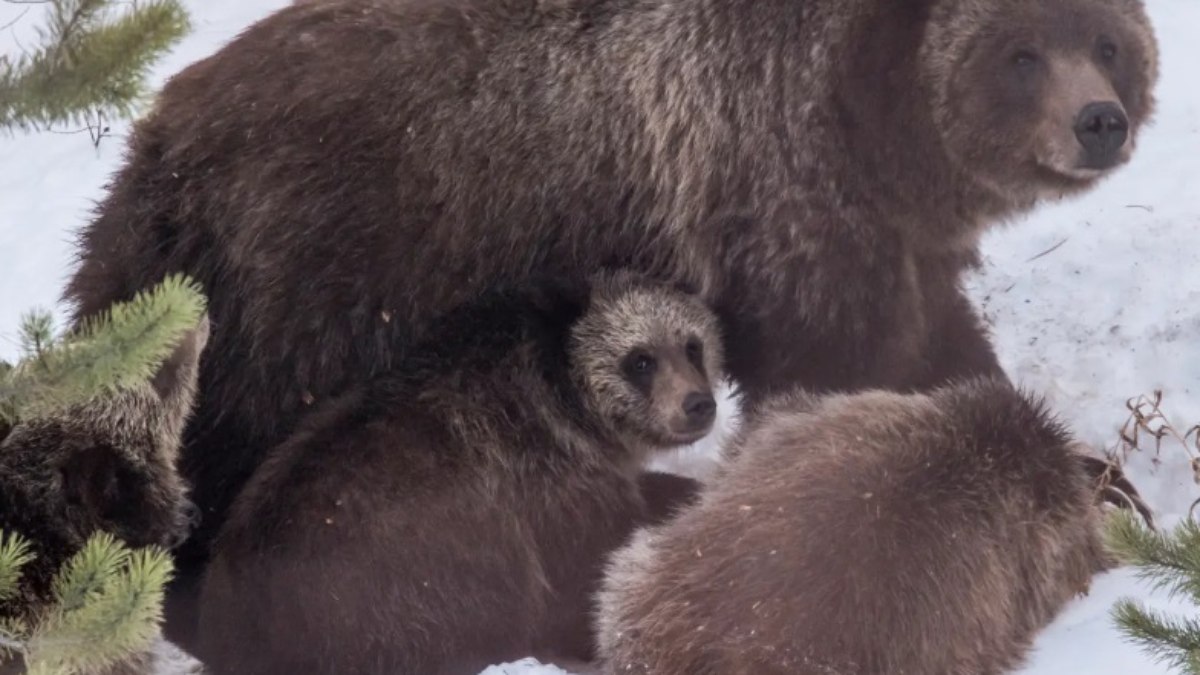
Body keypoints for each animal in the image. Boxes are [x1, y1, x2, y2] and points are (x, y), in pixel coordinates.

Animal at [193, 270, 724, 667]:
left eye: (692, 345)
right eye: (641, 360)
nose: (698, 405)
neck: (575, 410)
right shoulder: (547, 487)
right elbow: (584, 574)